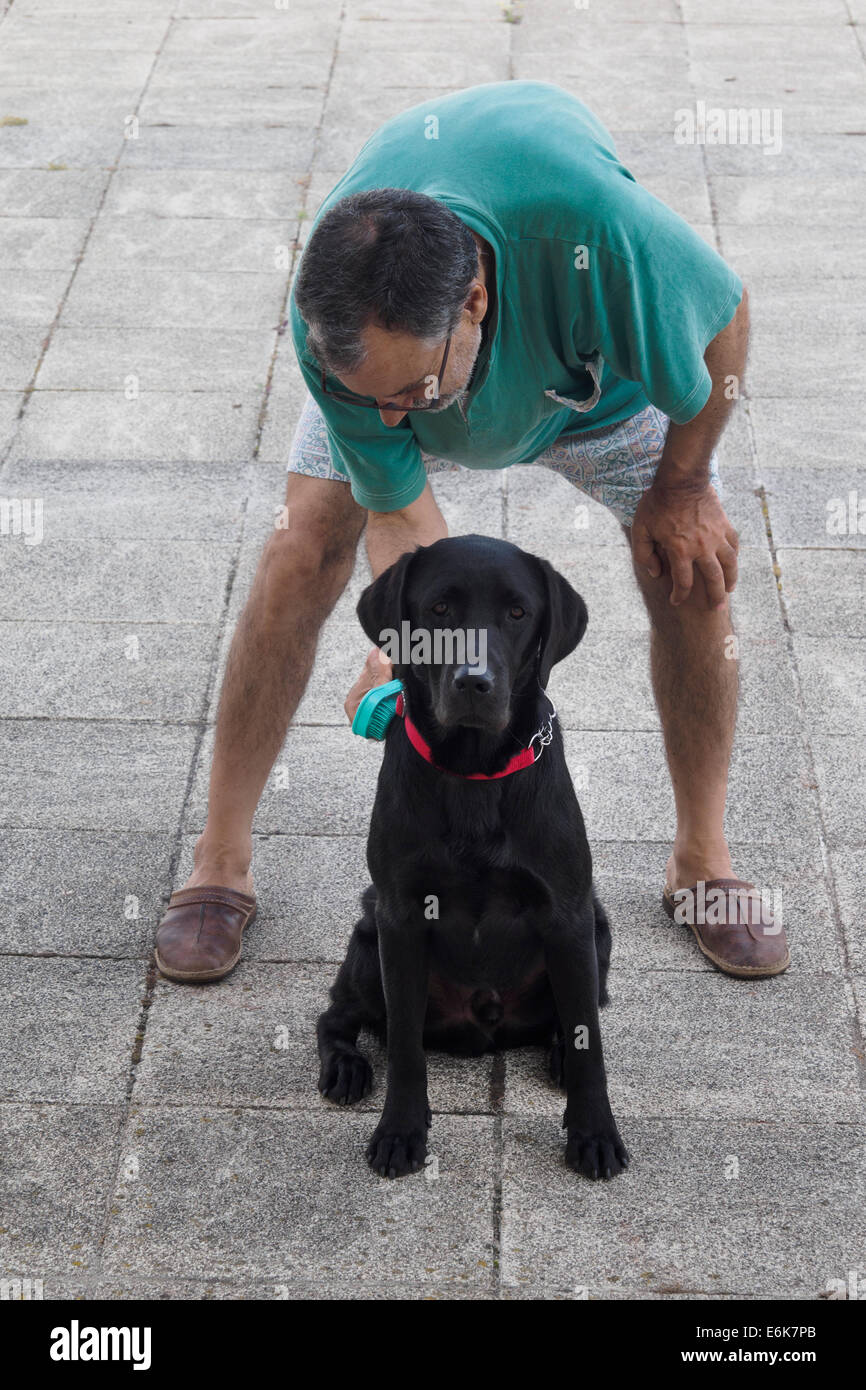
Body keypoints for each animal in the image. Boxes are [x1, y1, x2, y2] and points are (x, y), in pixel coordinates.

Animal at [315, 536, 625, 1178]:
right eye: (438, 609)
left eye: (517, 612)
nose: (473, 682)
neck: (473, 772)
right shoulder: (402, 917)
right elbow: (404, 1046)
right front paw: (401, 1130)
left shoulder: (568, 916)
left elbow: (590, 1038)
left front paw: (594, 1133)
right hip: (367, 939)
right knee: (337, 1017)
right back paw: (346, 1067)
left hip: (598, 929)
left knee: (576, 1015)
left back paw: (558, 1052)